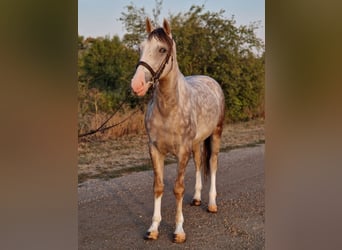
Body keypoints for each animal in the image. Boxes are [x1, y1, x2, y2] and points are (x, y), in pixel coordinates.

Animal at [130, 17, 224, 242]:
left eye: (162, 49)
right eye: (140, 47)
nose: (137, 85)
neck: (169, 108)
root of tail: (211, 81)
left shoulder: (182, 151)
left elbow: (178, 188)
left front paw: (179, 230)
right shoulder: (155, 150)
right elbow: (158, 187)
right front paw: (153, 228)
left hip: (216, 134)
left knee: (213, 164)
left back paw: (211, 203)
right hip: (197, 143)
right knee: (199, 163)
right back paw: (197, 198)